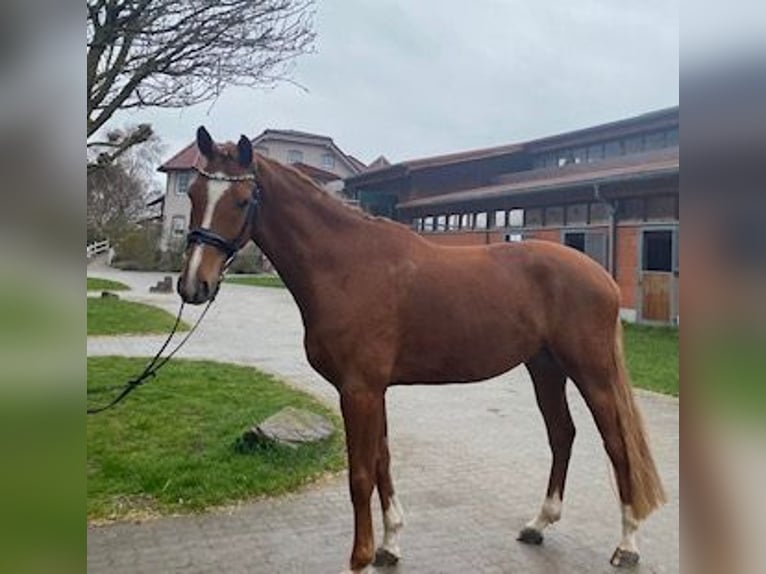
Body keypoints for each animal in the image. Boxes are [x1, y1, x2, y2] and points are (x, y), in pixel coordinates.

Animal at [178, 128, 664, 572]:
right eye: (196, 193)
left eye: (242, 200)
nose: (193, 285)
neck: (347, 266)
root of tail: (601, 276)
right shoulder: (372, 390)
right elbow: (382, 461)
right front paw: (389, 544)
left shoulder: (359, 390)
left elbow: (360, 474)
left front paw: (359, 558)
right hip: (545, 367)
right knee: (562, 435)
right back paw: (538, 524)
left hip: (591, 372)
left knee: (616, 443)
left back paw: (628, 545)